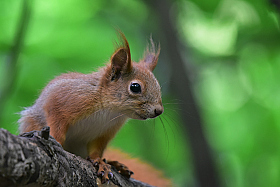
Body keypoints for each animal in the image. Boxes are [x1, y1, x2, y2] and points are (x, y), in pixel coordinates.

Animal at [19, 31, 171, 185]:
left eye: (158, 86)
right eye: (135, 87)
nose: (159, 111)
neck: (110, 110)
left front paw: (100, 162)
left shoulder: (105, 132)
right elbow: (57, 126)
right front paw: (55, 141)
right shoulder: (62, 100)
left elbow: (97, 149)